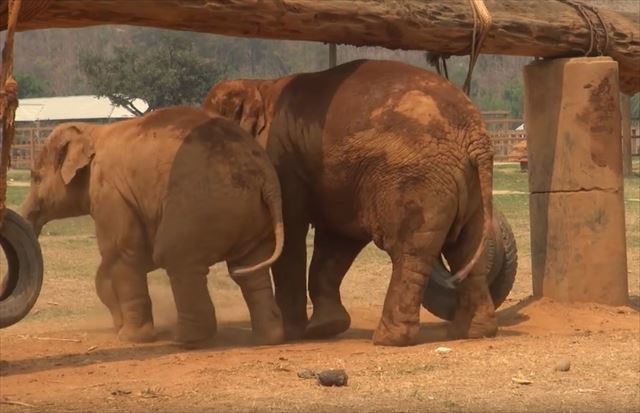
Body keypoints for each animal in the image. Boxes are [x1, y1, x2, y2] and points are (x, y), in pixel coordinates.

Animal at [20, 106, 284, 344]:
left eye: (35, 177)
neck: (92, 131)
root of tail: (265, 174)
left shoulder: (110, 193)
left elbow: (122, 252)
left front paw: (131, 338)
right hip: (251, 214)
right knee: (250, 270)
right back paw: (266, 338)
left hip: (203, 205)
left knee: (177, 258)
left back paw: (185, 340)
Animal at [202, 59, 498, 346]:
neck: (261, 86)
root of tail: (475, 135)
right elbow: (337, 239)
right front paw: (326, 327)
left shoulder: (281, 158)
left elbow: (292, 230)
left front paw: (293, 332)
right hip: (468, 185)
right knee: (467, 248)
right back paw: (473, 331)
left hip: (417, 179)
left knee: (410, 249)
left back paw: (389, 339)